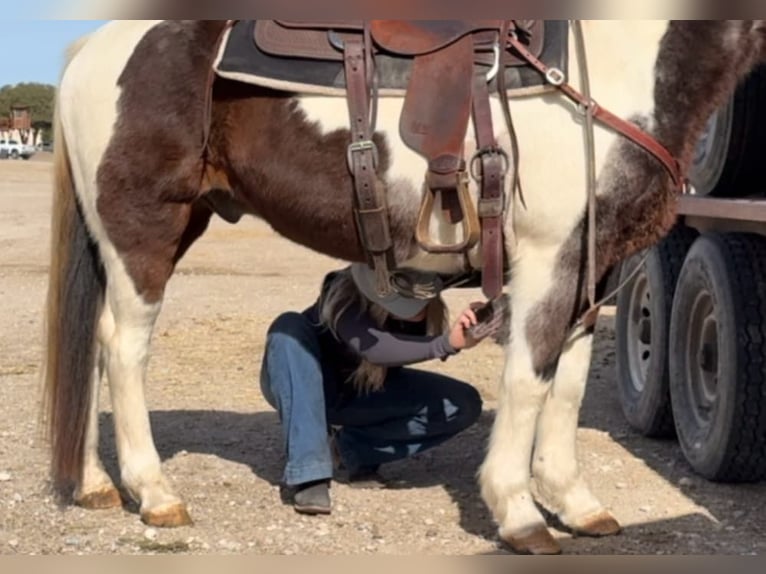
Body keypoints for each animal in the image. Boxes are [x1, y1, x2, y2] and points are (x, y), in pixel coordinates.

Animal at [43, 20, 766, 556]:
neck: (615, 60)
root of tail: (92, 49)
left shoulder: (595, 268)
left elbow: (567, 387)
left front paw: (577, 505)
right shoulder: (545, 261)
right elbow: (528, 382)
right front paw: (519, 514)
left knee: (92, 347)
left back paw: (94, 484)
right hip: (145, 231)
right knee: (122, 349)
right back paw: (155, 494)